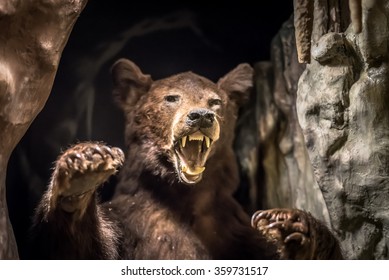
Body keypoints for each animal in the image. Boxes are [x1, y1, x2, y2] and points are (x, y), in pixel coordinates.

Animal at [28, 59, 342, 260]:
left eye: (215, 101)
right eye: (171, 98)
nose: (201, 116)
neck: (182, 197)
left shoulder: (236, 233)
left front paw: (290, 225)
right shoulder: (127, 226)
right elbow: (79, 249)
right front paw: (81, 170)